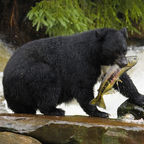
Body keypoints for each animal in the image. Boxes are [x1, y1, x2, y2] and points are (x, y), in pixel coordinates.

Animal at [2, 27, 144, 117]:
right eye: (115, 51)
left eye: (124, 50)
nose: (124, 63)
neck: (97, 55)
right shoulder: (81, 63)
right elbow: (82, 88)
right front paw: (100, 112)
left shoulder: (108, 67)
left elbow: (123, 80)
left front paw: (140, 97)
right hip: (31, 73)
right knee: (47, 83)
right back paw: (55, 110)